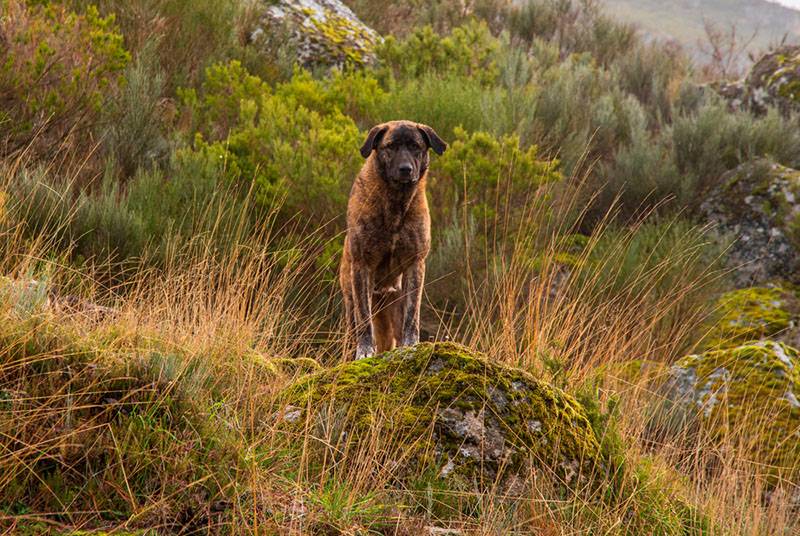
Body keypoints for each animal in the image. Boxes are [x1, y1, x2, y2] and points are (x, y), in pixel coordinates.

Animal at [338, 121, 446, 360]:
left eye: (415, 146)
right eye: (391, 146)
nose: (406, 169)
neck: (396, 203)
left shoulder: (415, 264)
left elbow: (412, 316)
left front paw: (411, 345)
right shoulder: (362, 266)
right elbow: (364, 320)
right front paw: (365, 351)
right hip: (350, 306)